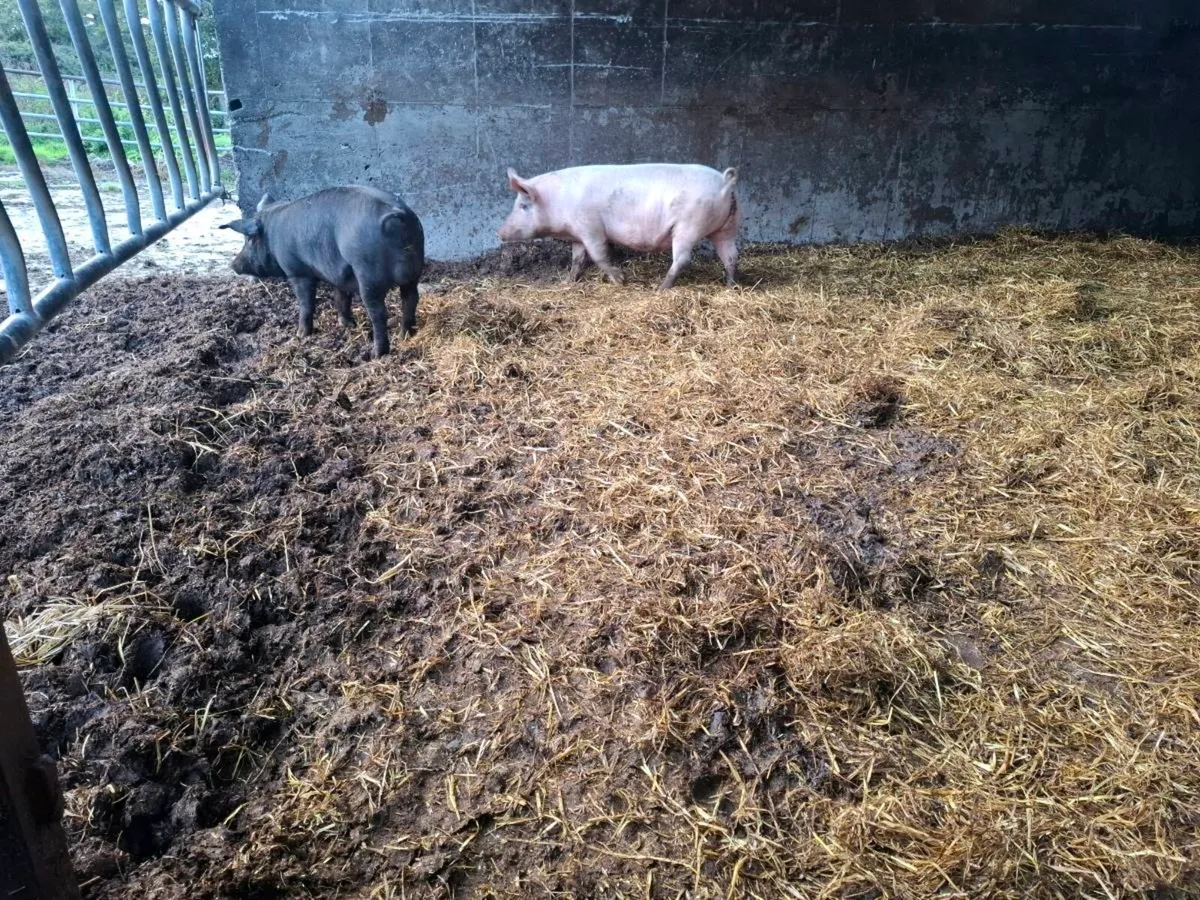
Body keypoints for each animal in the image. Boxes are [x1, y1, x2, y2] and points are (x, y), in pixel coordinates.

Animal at [220, 186, 424, 358]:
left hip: (369, 275)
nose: (233, 265)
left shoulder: (297, 271)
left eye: (249, 240)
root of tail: (397, 215)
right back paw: (404, 335)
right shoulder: (340, 273)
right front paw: (346, 325)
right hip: (414, 270)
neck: (273, 234)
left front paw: (300, 335)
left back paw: (376, 354)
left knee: (379, 313)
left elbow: (306, 303)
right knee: (410, 299)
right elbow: (341, 297)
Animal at [497, 163, 741, 290]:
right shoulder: (578, 235)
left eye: (523, 206)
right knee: (731, 255)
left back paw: (660, 288)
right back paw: (730, 286)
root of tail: (724, 182)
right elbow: (577, 259)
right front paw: (568, 281)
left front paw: (620, 280)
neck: (557, 202)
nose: (499, 232)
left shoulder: (590, 227)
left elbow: (599, 255)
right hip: (726, 228)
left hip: (688, 226)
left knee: (682, 259)